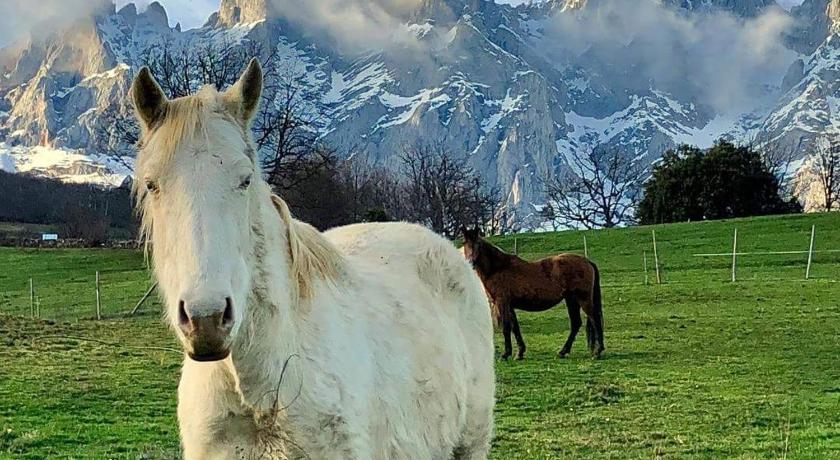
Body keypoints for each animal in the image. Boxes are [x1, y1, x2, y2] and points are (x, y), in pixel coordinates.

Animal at [460, 228, 604, 362]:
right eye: (465, 242)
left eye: (478, 243)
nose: (471, 263)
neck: (498, 268)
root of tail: (587, 261)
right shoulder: (510, 306)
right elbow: (515, 327)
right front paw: (519, 353)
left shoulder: (502, 302)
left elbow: (506, 327)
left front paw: (506, 354)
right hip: (571, 300)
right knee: (576, 324)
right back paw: (563, 352)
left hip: (583, 299)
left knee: (595, 319)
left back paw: (597, 352)